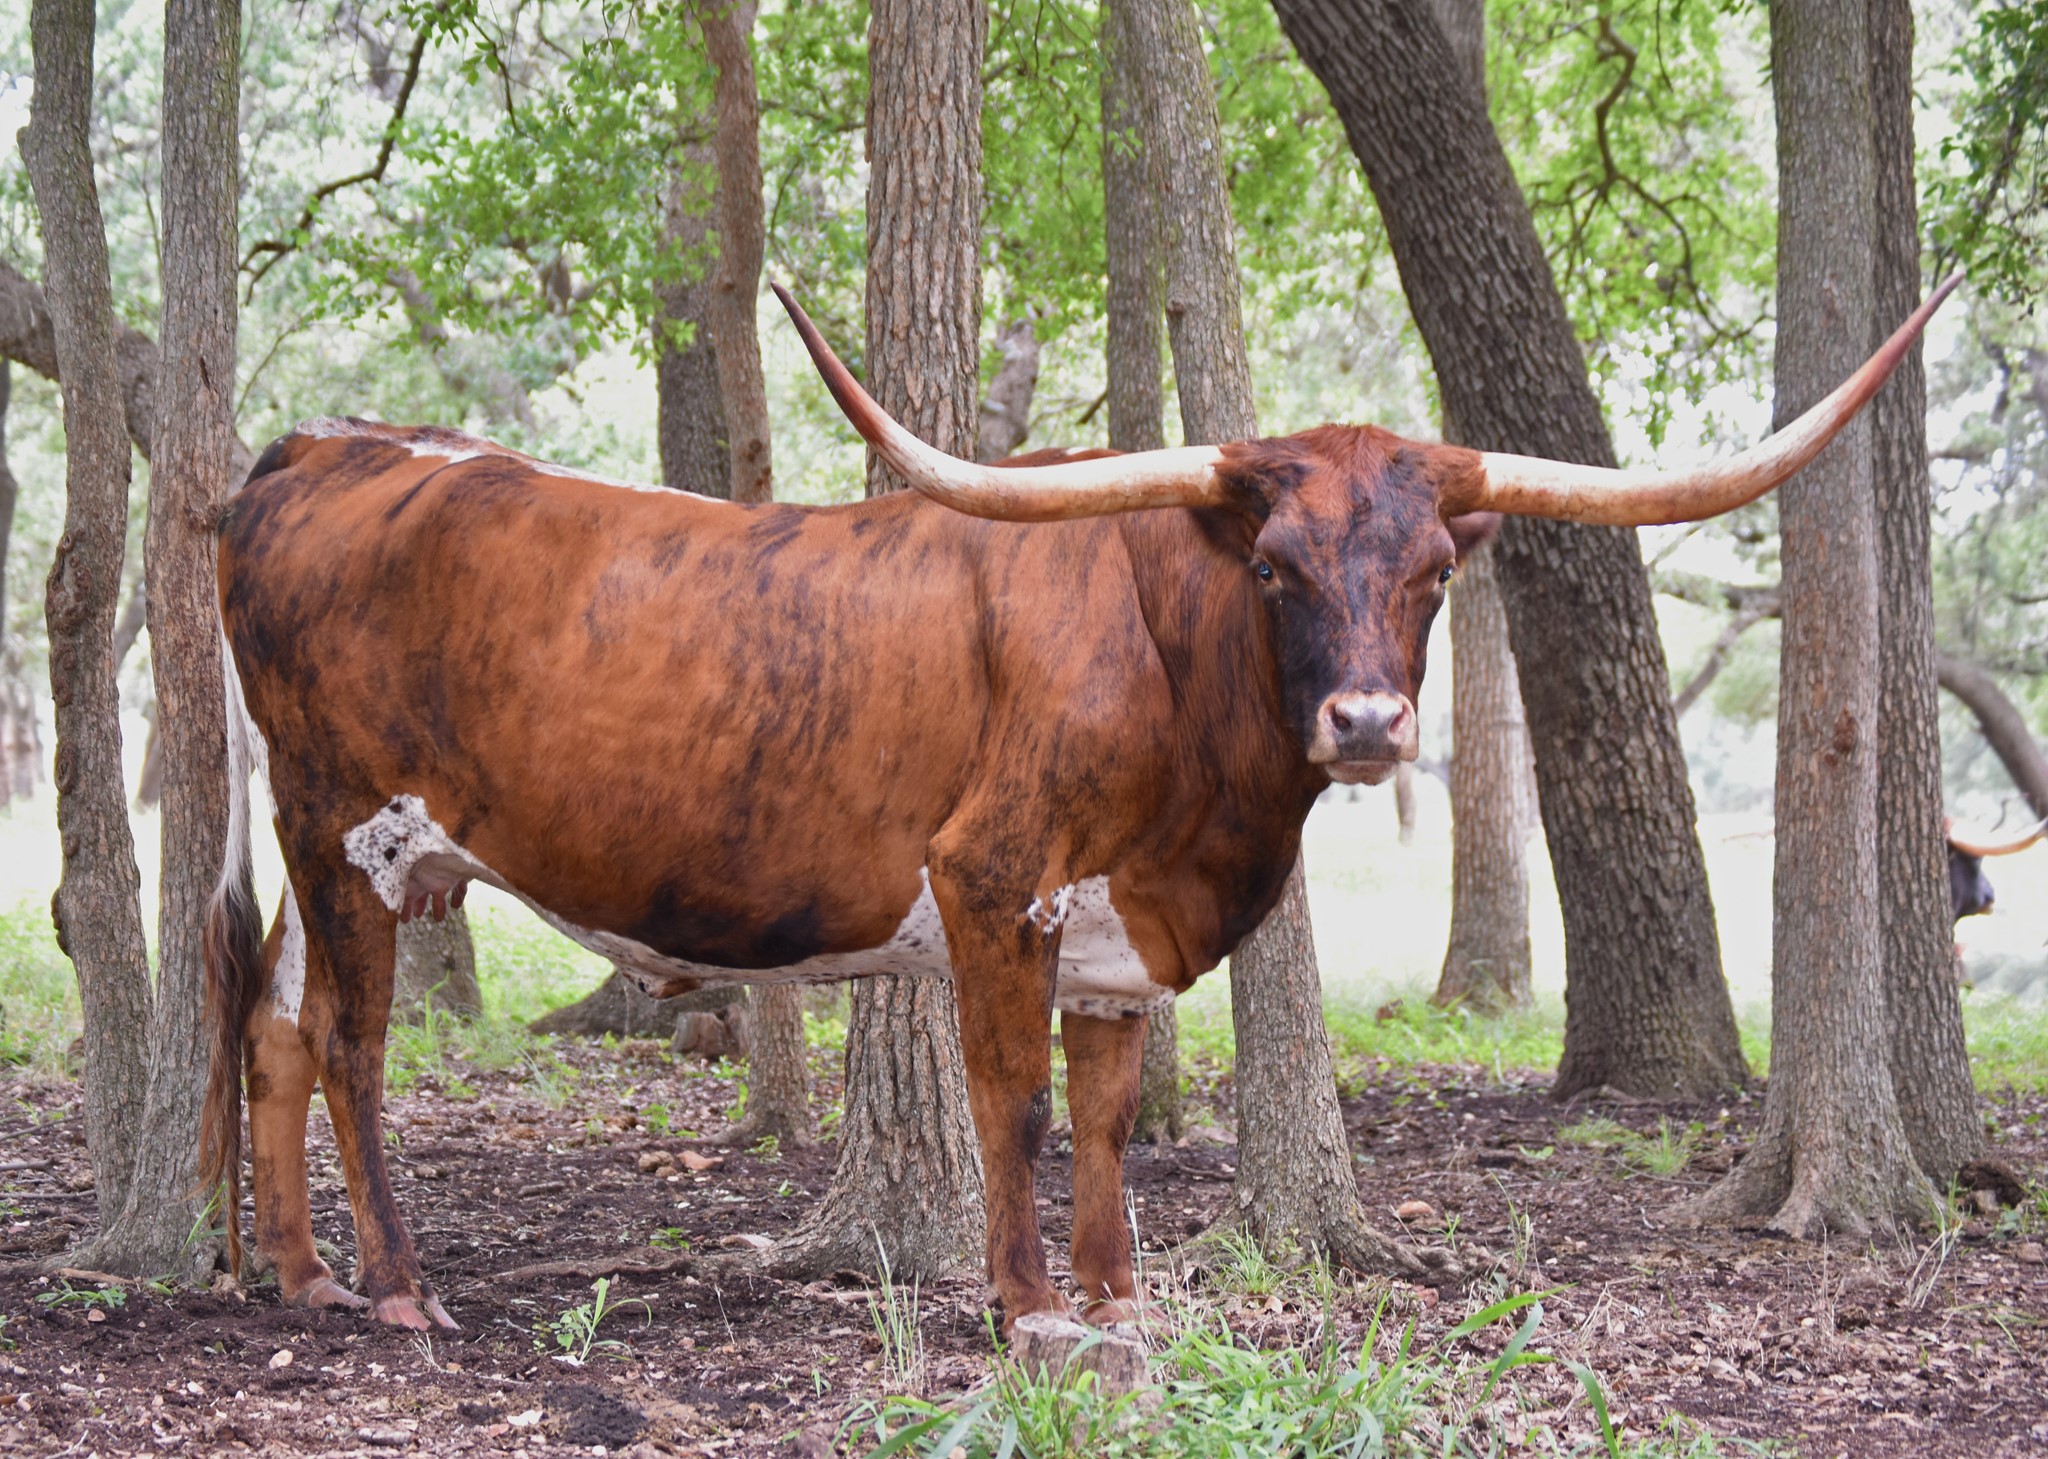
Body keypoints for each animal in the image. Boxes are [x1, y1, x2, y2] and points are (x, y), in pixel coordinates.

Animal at [198, 277, 1959, 1333]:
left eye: (1435, 576)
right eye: (1276, 566)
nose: (1370, 722)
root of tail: (323, 450)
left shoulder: (1124, 923)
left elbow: (1108, 1111)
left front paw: (1116, 1301)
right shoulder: (996, 881)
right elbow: (1016, 1106)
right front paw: (1029, 1304)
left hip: (326, 843)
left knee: (270, 1022)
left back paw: (292, 1273)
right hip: (351, 830)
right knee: (348, 1038)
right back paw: (397, 1284)